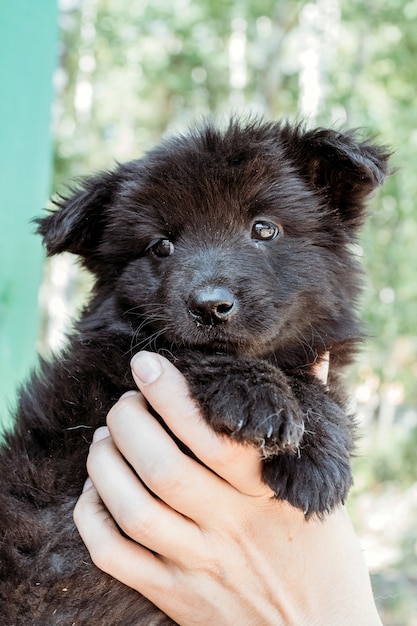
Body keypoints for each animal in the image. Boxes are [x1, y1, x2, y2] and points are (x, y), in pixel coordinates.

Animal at [0, 117, 390, 620]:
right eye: (160, 245)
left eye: (264, 229)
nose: (210, 307)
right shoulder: (103, 368)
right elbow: (179, 350)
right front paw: (261, 399)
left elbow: (320, 383)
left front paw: (316, 448)